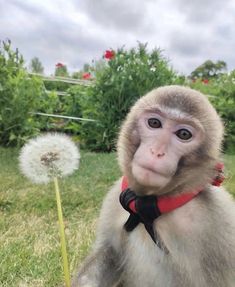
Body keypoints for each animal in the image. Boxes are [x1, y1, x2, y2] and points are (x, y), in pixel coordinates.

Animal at [71, 85, 235, 287]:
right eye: (155, 123)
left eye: (184, 134)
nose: (156, 151)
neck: (148, 205)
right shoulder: (116, 196)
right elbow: (110, 252)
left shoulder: (220, 222)